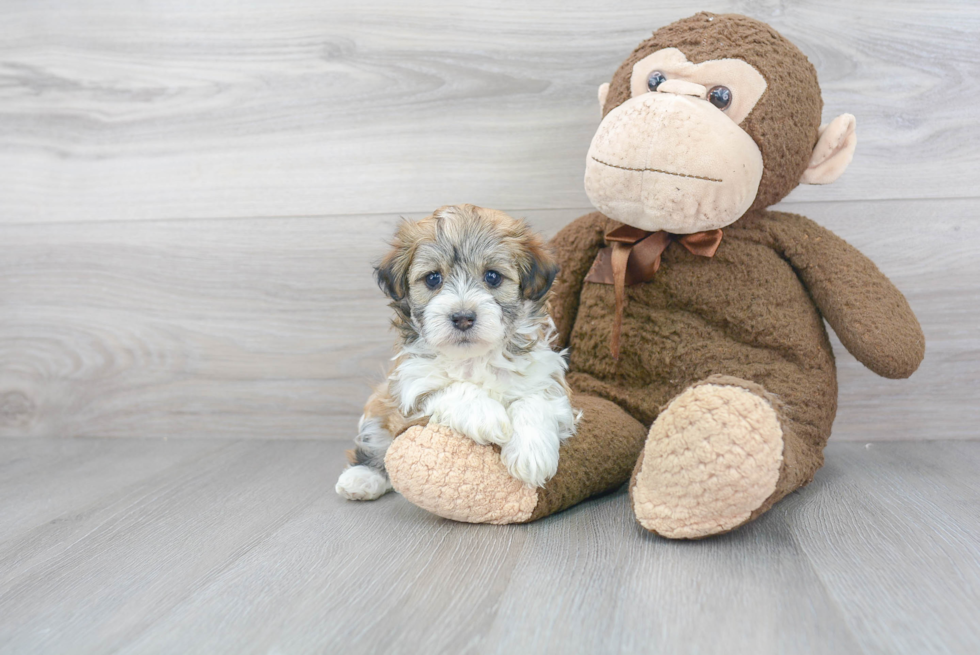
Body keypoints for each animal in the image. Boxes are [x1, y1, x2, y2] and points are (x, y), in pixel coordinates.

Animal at [334, 205, 580, 502]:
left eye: (492, 276)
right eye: (433, 278)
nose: (463, 317)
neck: (474, 358)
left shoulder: (547, 380)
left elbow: (534, 400)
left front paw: (532, 454)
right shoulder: (410, 386)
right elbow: (453, 388)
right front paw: (489, 416)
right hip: (379, 404)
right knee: (374, 440)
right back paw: (361, 477)